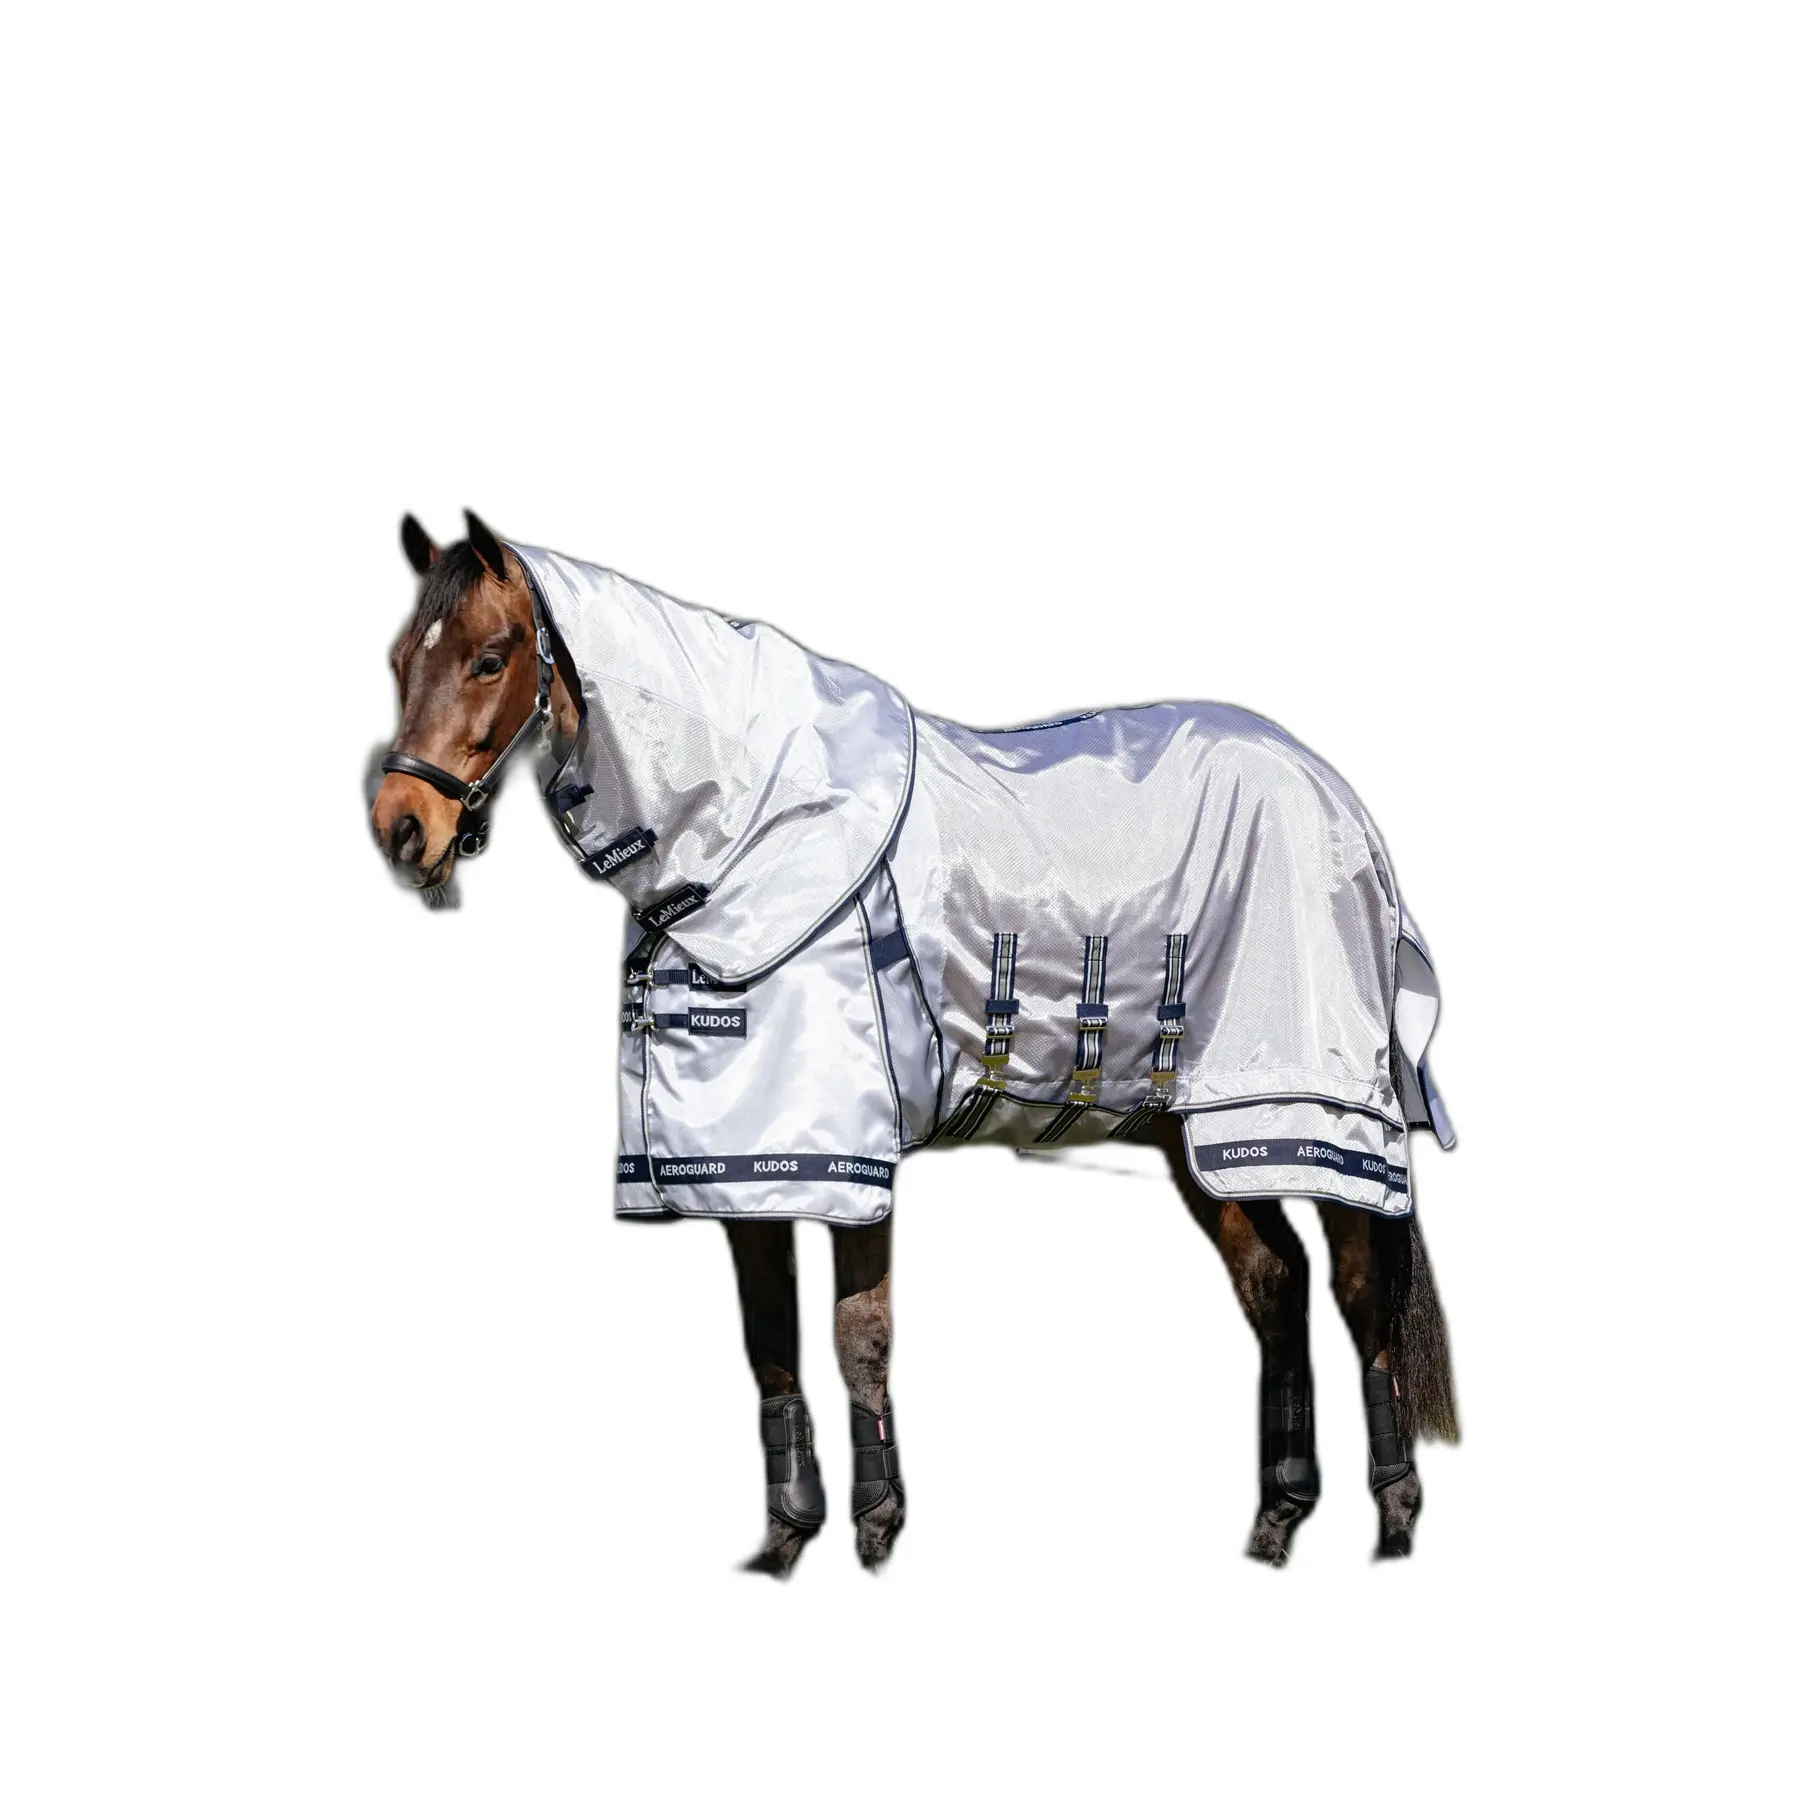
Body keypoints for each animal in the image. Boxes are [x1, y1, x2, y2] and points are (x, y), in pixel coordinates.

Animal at [370, 509, 1459, 1571]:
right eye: (396, 660)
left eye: (491, 656)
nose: (401, 829)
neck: (749, 834)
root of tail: (1345, 808)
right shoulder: (742, 1169)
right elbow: (770, 1341)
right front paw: (786, 1541)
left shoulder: (844, 1157)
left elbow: (860, 1334)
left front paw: (877, 1530)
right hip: (1191, 1129)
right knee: (1277, 1286)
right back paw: (1278, 1521)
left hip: (1301, 1114)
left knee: (1361, 1293)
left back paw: (1395, 1521)